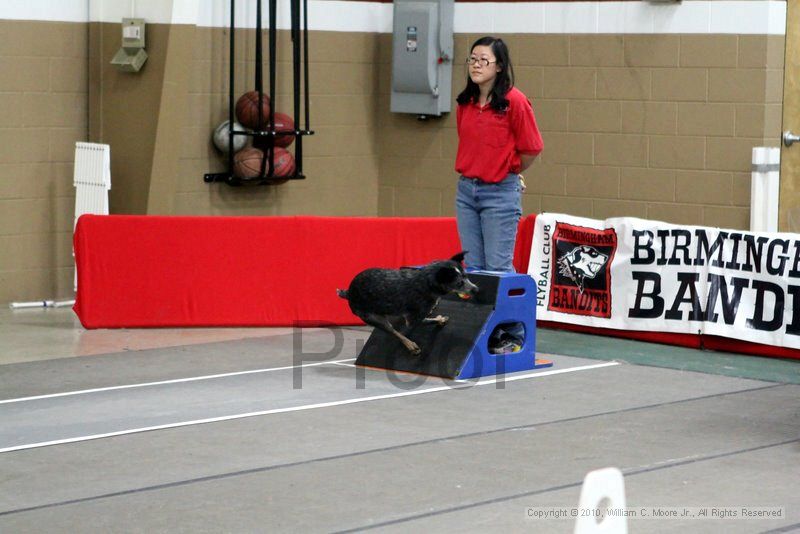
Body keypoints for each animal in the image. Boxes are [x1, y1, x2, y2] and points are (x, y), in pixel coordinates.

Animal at [336, 253, 478, 358]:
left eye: (466, 276)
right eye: (459, 283)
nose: (476, 289)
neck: (426, 281)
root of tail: (349, 292)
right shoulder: (413, 318)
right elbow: (423, 320)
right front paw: (438, 318)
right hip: (373, 317)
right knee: (394, 332)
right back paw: (410, 345)